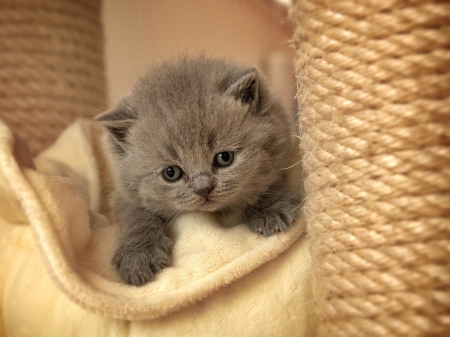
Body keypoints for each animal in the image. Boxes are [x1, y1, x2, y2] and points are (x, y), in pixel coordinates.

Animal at [96, 55, 298, 286]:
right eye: (171, 173)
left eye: (224, 158)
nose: (204, 188)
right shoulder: (123, 193)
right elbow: (136, 216)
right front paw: (138, 256)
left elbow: (267, 181)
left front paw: (271, 208)